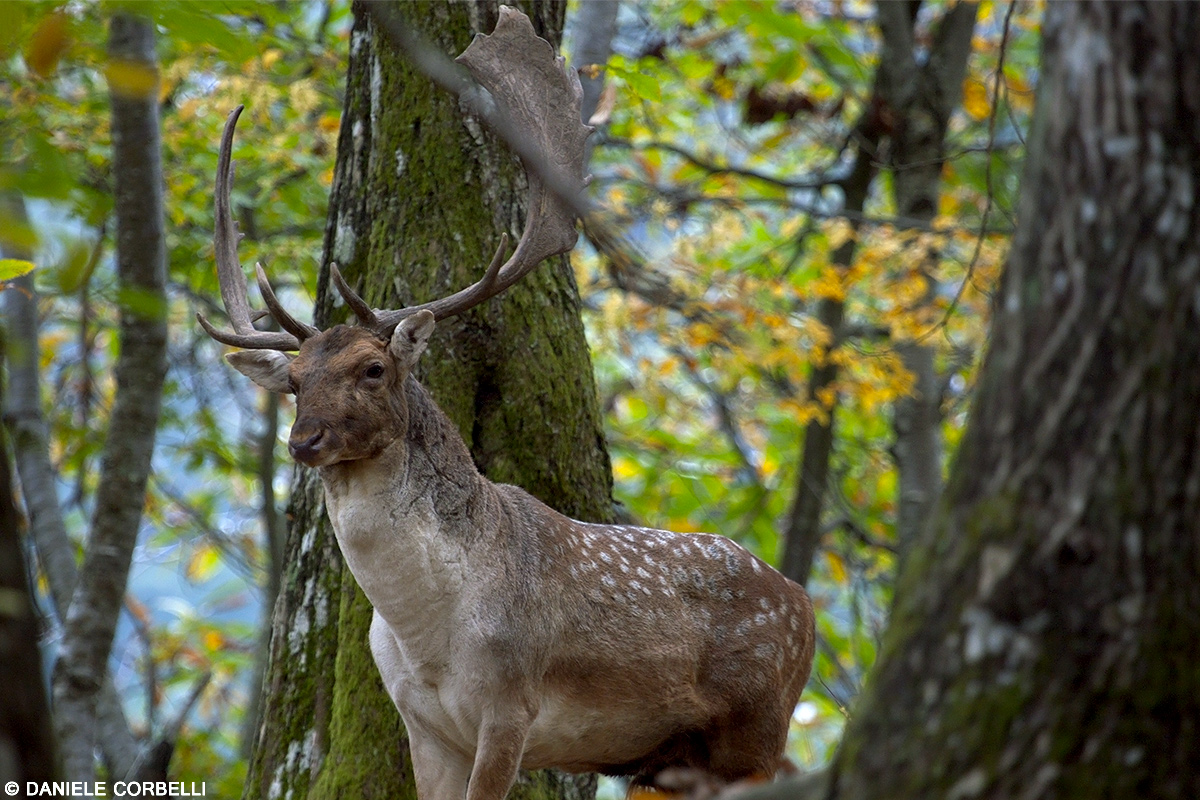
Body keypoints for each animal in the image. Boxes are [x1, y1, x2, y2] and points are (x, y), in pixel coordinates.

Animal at [199, 9, 816, 800]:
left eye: (373, 368)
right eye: (296, 380)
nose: (304, 440)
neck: (428, 637)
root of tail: (805, 604)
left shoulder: (510, 705)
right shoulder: (423, 724)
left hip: (757, 733)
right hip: (668, 763)